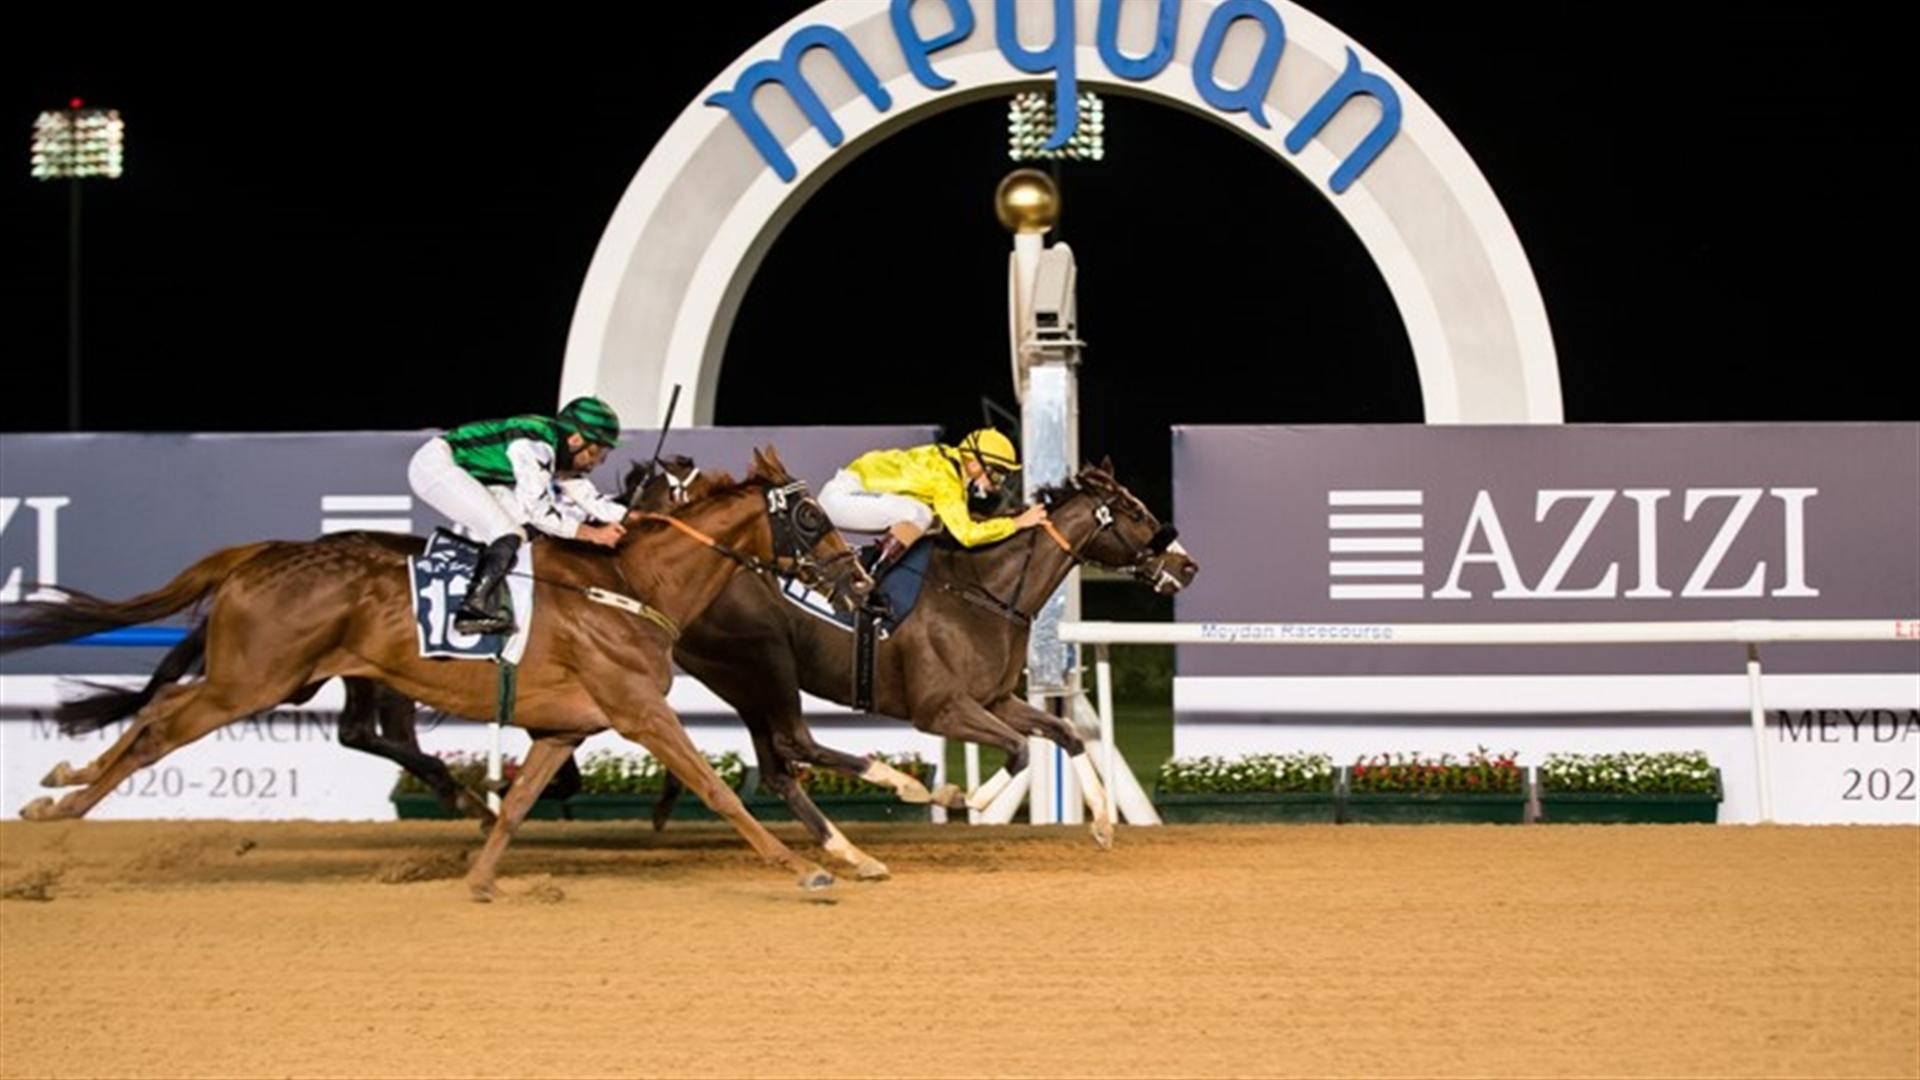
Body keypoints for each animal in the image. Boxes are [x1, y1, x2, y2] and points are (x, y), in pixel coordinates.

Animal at [1, 447, 869, 898]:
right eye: (813, 518)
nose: (862, 582)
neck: (629, 584)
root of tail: (262, 553)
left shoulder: (566, 726)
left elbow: (517, 804)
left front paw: (480, 878)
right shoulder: (638, 713)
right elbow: (718, 789)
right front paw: (804, 867)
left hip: (269, 677)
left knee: (157, 713)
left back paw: (60, 783)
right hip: (253, 680)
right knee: (160, 726)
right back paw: (59, 805)